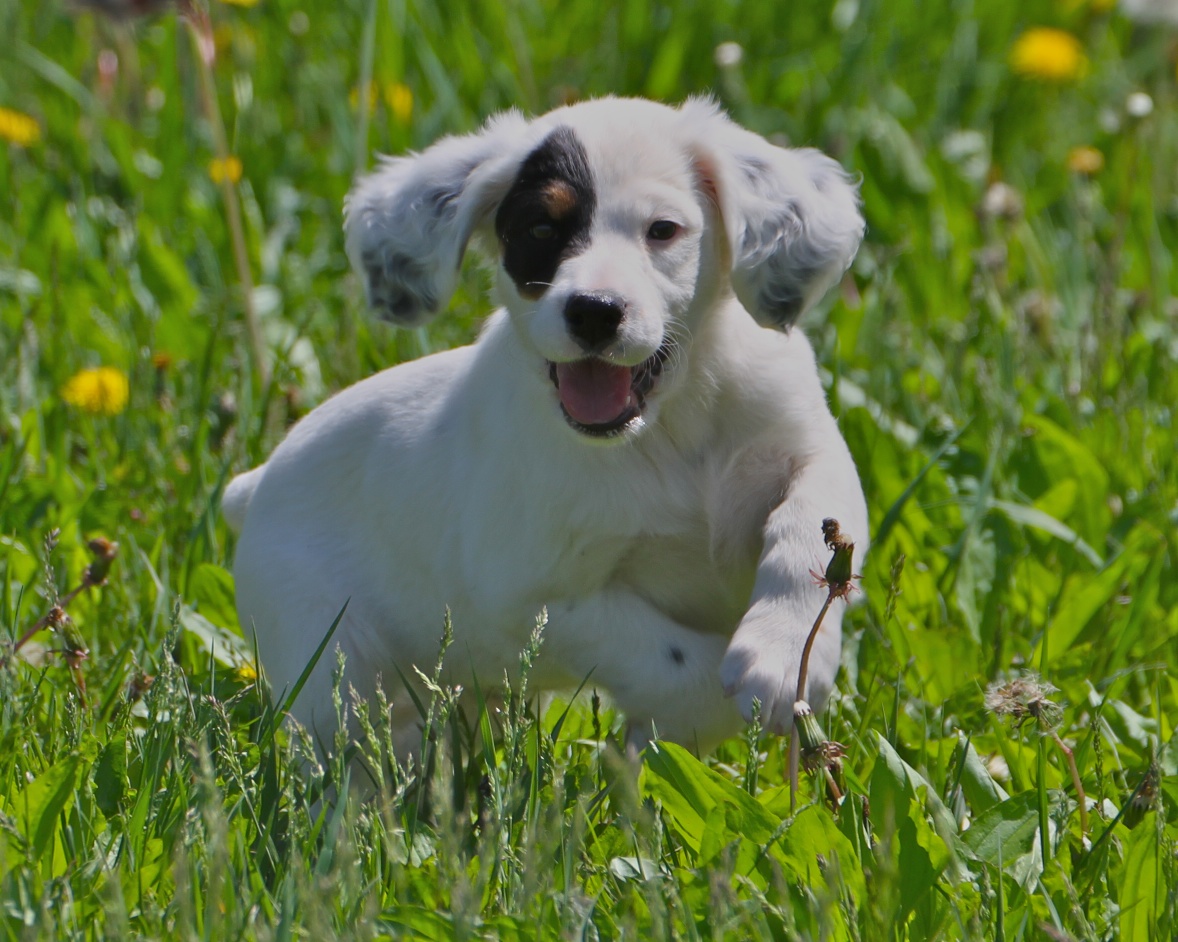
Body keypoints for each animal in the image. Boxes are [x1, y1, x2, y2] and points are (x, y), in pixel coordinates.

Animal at [222, 95, 867, 753]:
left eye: (662, 230)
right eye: (539, 231)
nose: (594, 311)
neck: (670, 426)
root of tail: (255, 485)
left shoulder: (811, 449)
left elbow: (809, 528)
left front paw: (784, 654)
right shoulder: (530, 598)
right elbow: (672, 661)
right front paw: (710, 709)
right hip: (330, 667)